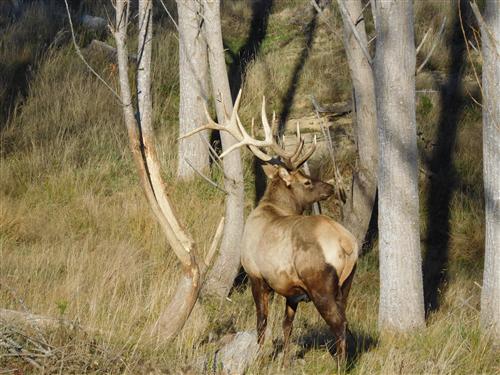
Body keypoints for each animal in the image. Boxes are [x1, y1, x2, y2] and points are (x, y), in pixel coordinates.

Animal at [182, 90, 358, 362]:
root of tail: (348, 245)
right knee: (344, 321)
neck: (272, 207)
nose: (330, 187)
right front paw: (284, 362)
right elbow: (286, 326)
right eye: (307, 182)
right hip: (346, 283)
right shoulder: (290, 290)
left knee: (340, 324)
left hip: (321, 284)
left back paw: (339, 365)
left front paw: (257, 357)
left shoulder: (255, 274)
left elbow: (261, 323)